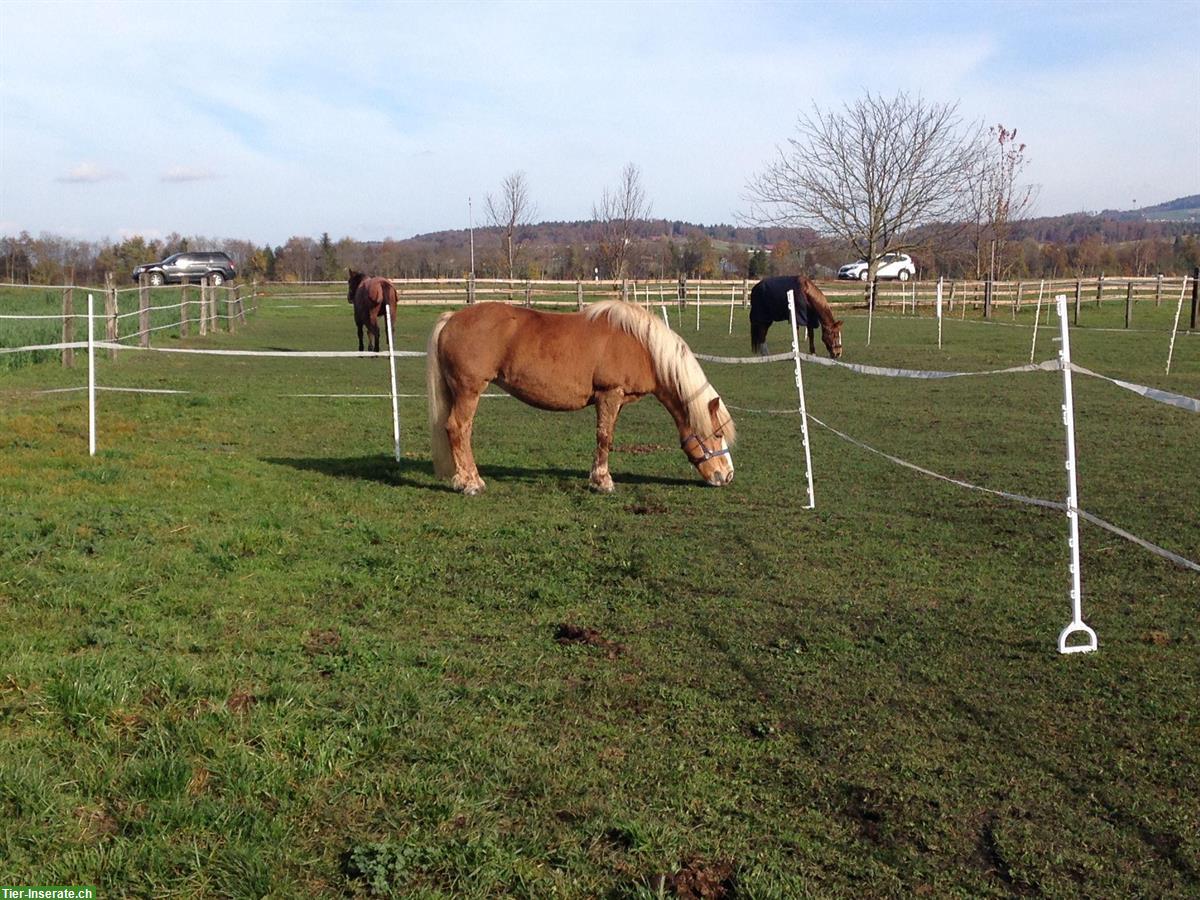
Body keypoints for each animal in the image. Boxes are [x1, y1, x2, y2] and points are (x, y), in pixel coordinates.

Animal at [426, 300, 736, 495]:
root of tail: (451, 318)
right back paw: (471, 483)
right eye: (718, 434)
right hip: (468, 391)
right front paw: (603, 482)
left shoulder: (616, 401)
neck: (642, 347)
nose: (727, 476)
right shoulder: (609, 394)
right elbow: (604, 438)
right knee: (458, 429)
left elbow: (606, 437)